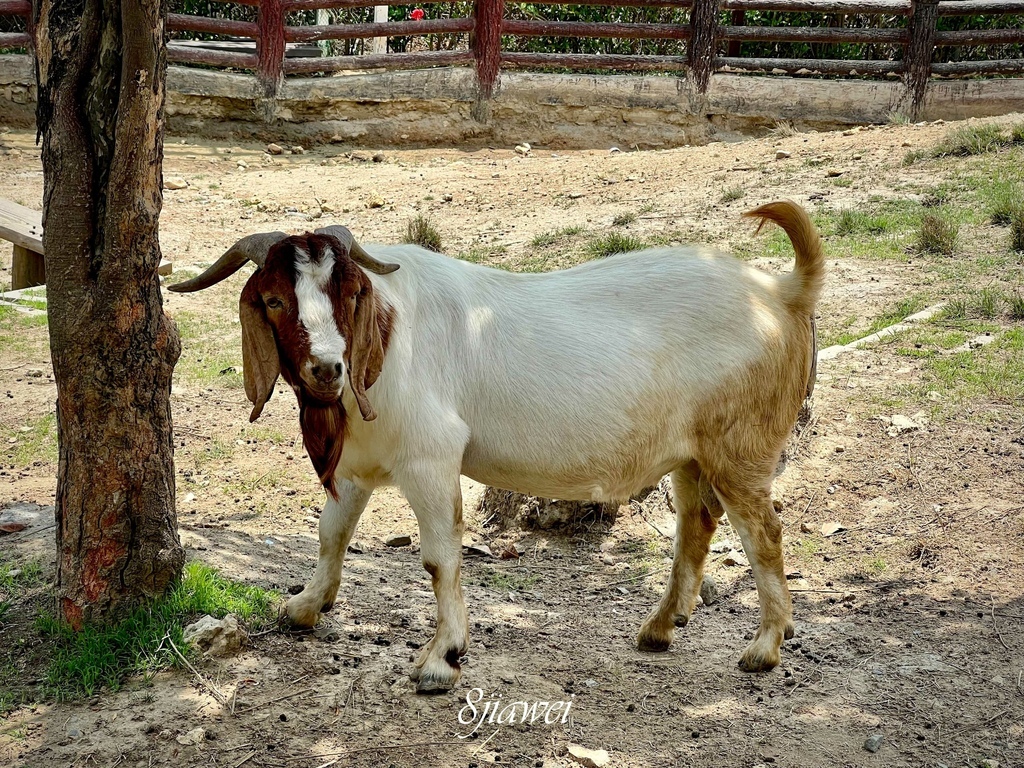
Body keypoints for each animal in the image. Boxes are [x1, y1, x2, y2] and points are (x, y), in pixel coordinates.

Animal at [167, 201, 823, 696]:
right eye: (275, 300)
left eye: (346, 295)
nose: (327, 369)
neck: (389, 333)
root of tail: (782, 292)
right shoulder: (357, 464)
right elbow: (332, 533)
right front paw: (305, 606)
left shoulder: (430, 457)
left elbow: (440, 557)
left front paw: (442, 658)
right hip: (691, 451)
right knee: (696, 523)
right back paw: (661, 628)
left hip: (740, 445)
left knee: (764, 532)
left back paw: (764, 647)